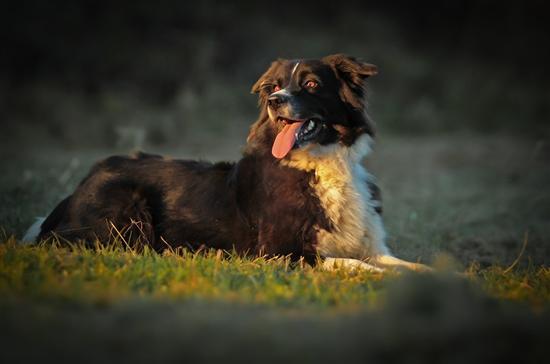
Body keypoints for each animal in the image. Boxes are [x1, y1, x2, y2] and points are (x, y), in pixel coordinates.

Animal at [23, 53, 432, 270]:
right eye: (273, 87)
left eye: (312, 84)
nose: (276, 101)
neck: (321, 163)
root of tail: (80, 185)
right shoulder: (282, 253)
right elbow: (356, 265)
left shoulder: (373, 246)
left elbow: (405, 265)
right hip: (127, 214)